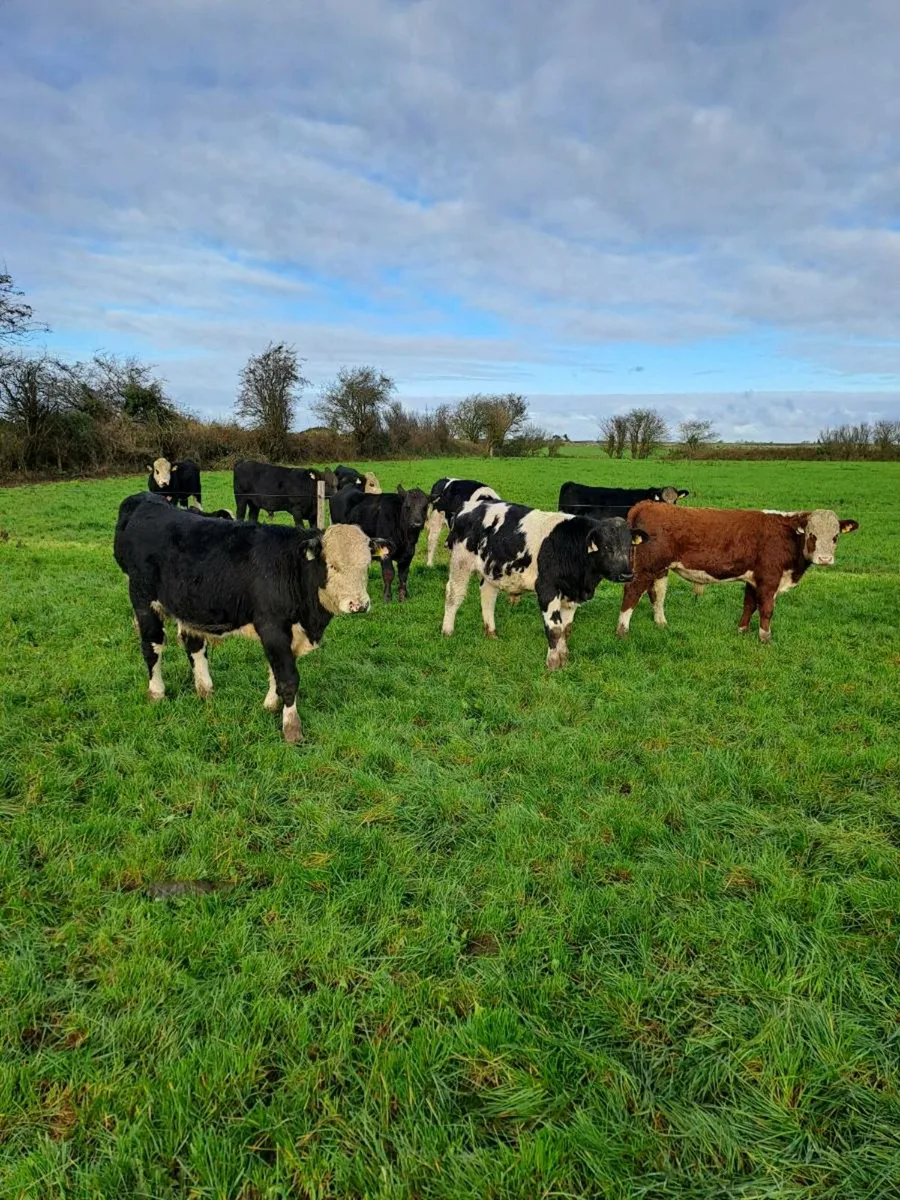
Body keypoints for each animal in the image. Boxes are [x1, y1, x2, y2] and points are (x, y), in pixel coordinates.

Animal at [113, 492, 390, 742]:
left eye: (367, 565)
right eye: (332, 565)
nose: (359, 605)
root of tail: (144, 499)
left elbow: (275, 671)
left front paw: (270, 705)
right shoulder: (272, 626)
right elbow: (288, 678)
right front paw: (291, 728)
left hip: (189, 605)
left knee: (194, 645)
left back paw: (205, 689)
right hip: (143, 600)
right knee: (152, 647)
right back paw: (157, 692)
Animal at [441, 500, 648, 670]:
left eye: (629, 546)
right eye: (606, 546)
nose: (627, 574)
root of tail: (470, 507)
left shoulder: (572, 594)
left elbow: (566, 628)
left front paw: (564, 658)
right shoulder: (547, 589)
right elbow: (555, 629)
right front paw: (553, 663)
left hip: (492, 569)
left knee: (487, 597)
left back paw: (491, 632)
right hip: (461, 561)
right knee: (454, 595)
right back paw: (447, 631)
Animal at [618, 503, 859, 643]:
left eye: (836, 536)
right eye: (812, 534)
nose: (825, 559)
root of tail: (646, 504)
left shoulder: (753, 579)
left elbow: (749, 605)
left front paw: (742, 630)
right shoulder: (769, 578)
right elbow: (767, 610)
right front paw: (765, 638)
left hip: (660, 569)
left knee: (657, 594)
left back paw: (661, 624)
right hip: (645, 568)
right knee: (632, 592)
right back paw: (622, 630)